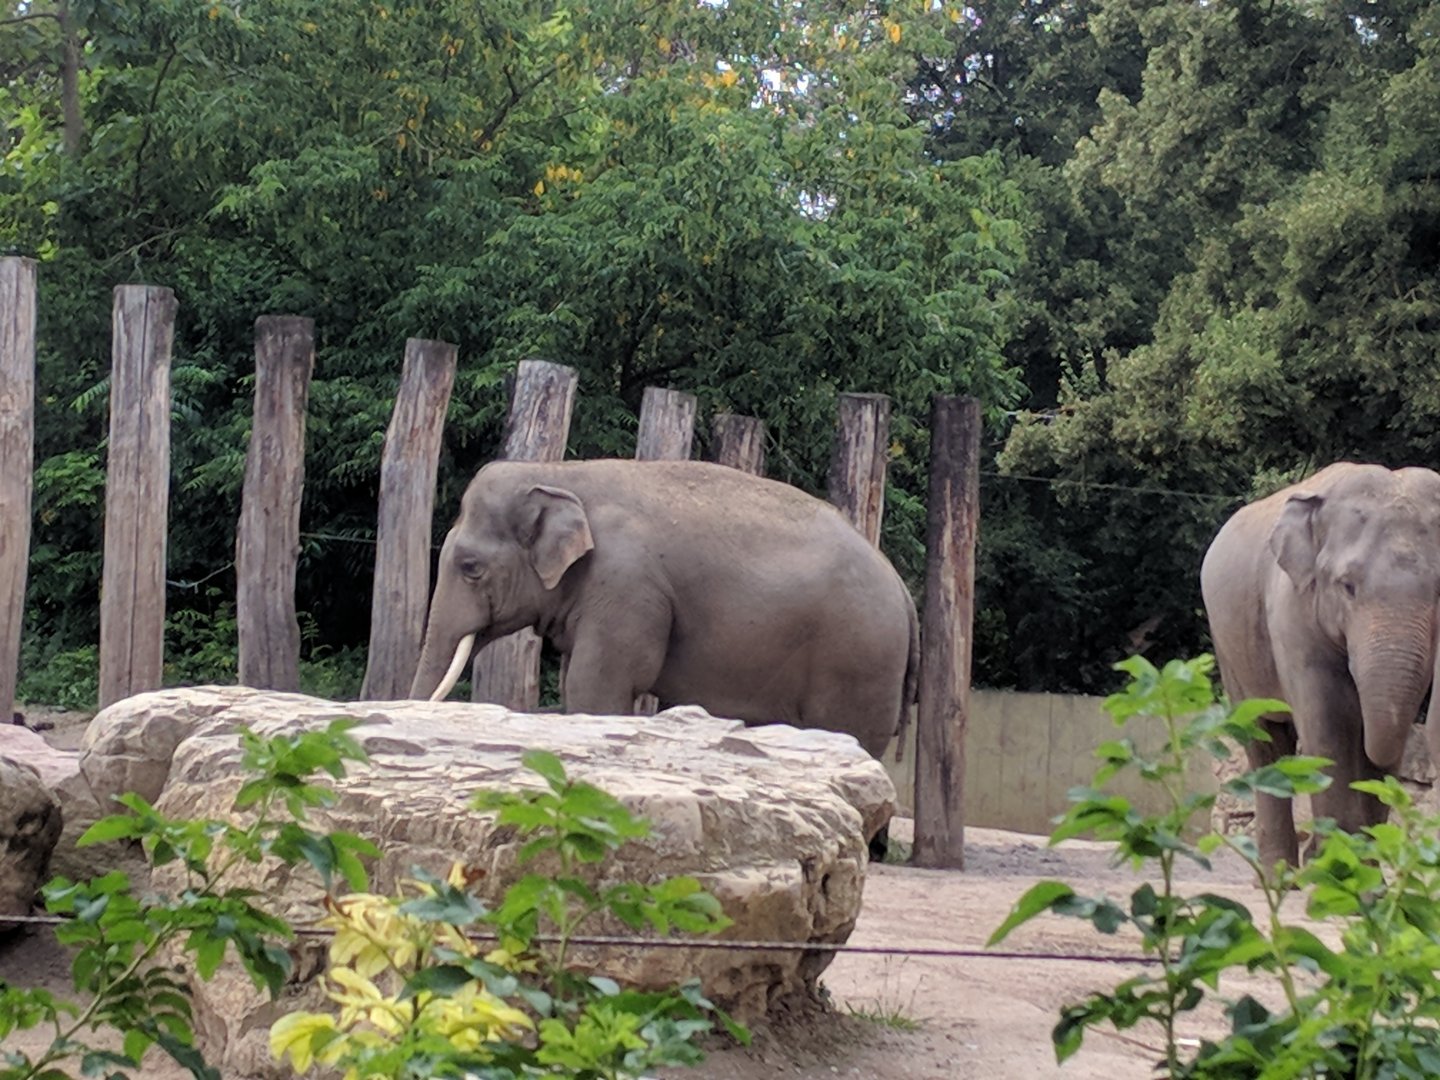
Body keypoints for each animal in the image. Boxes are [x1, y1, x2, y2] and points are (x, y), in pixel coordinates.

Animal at [409, 458, 920, 761]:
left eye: (471, 568)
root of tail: (901, 586)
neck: (561, 472)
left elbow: (596, 683)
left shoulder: (628, 586)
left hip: (859, 659)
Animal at [1200, 462, 1440, 868]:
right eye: (1347, 586)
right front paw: (1337, 869)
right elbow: (1329, 727)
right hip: (1226, 642)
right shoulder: (1291, 609)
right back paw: (1279, 872)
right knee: (1264, 741)